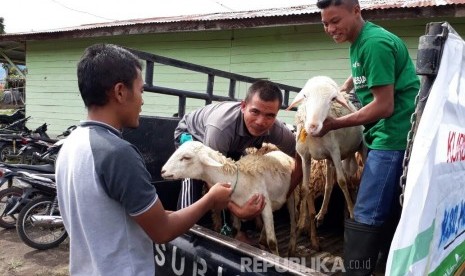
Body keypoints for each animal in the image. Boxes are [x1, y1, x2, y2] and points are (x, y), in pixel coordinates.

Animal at [161, 141, 296, 258]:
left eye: (186, 157)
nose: (163, 171)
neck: (241, 180)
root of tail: (280, 152)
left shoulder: (265, 205)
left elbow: (272, 242)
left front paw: (277, 257)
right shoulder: (237, 210)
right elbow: (235, 231)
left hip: (292, 196)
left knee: (293, 225)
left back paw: (291, 250)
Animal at [284, 75, 364, 250]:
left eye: (333, 99)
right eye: (305, 96)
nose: (313, 126)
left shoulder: (335, 152)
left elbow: (342, 182)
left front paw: (352, 212)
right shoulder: (305, 157)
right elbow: (305, 188)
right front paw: (303, 223)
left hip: (359, 150)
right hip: (328, 160)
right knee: (328, 185)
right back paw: (321, 215)